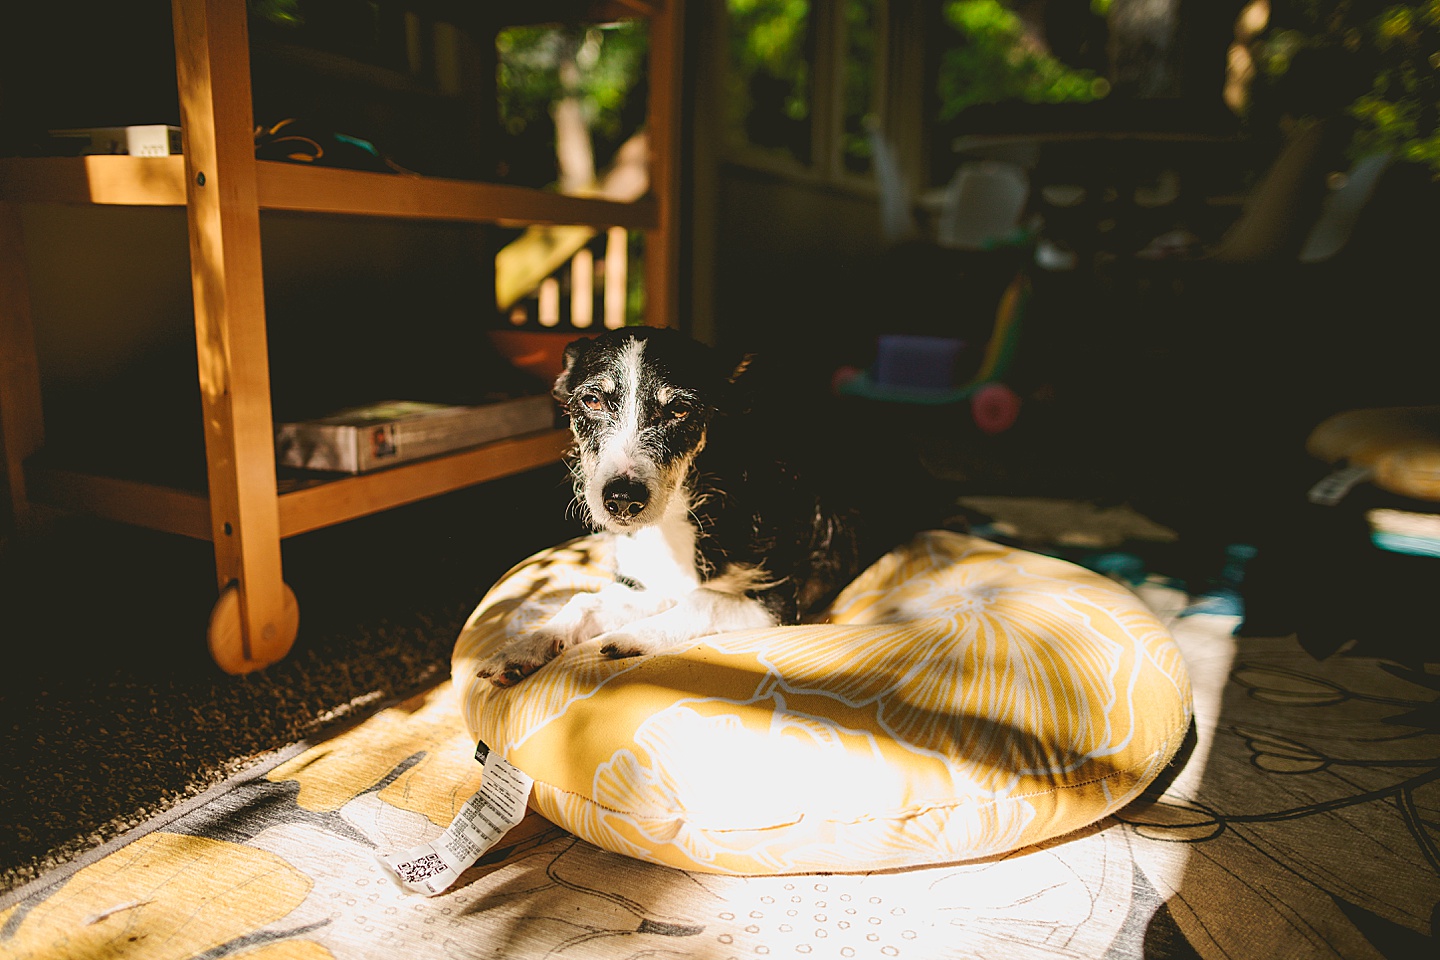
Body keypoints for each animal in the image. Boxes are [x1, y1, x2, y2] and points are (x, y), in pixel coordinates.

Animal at [472, 326, 921, 687]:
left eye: (680, 409)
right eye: (593, 400)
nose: (622, 499)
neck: (677, 519)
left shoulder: (778, 600)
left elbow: (704, 599)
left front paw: (633, 637)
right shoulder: (649, 585)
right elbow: (583, 601)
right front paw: (524, 647)